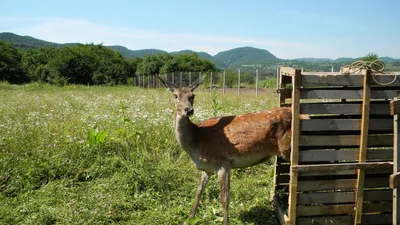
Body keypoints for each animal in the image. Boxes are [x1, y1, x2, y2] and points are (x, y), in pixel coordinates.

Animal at [157, 76, 306, 225]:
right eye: (175, 95)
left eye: (192, 96)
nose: (188, 110)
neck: (197, 140)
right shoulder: (207, 168)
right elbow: (198, 191)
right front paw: (188, 219)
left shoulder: (224, 162)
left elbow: (225, 198)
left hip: (290, 149)